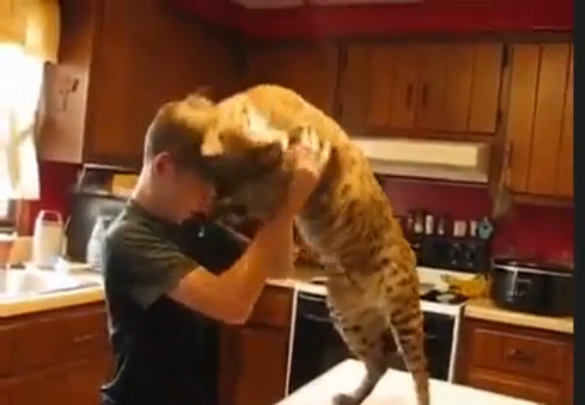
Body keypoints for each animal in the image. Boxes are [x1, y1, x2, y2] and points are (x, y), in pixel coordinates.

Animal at [176, 84, 430, 405]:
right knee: (379, 363)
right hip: (351, 322)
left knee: (419, 374)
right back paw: (351, 397)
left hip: (403, 315)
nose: (213, 205)